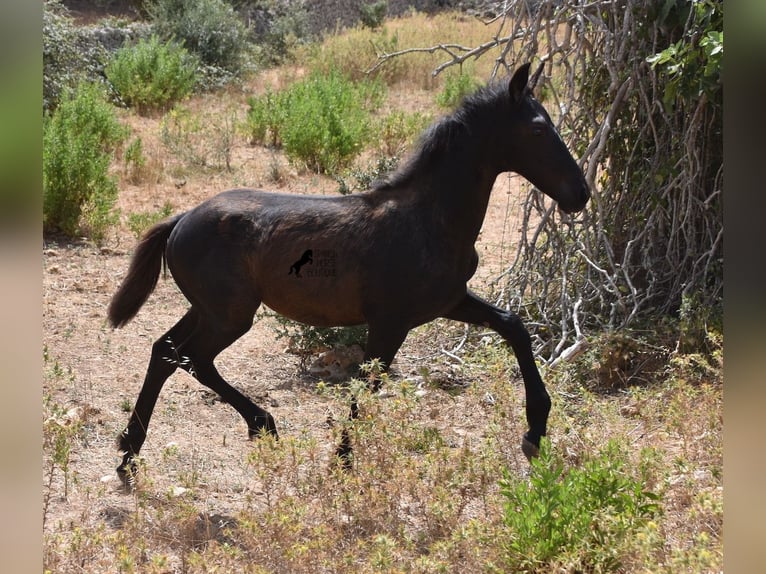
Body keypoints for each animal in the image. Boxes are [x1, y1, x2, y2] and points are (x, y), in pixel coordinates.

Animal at [108, 64, 592, 486]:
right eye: (537, 128)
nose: (581, 194)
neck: (429, 220)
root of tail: (181, 219)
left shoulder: (451, 301)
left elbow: (514, 327)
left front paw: (535, 431)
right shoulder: (390, 323)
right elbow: (366, 386)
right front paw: (341, 461)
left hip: (208, 310)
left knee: (166, 351)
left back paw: (130, 454)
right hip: (230, 315)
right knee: (192, 358)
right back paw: (260, 424)